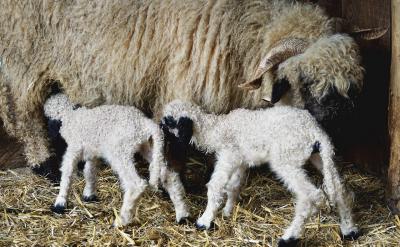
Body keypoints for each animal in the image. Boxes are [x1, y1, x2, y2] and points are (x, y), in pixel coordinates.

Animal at [0, 0, 370, 171]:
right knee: (23, 112)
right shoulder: (177, 84)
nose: (336, 124)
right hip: (25, 55)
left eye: (350, 88)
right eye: (303, 81)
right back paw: (43, 164)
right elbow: (173, 141)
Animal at [43, 94, 189, 226]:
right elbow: (90, 172)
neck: (70, 116)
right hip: (150, 148)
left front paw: (60, 203)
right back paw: (182, 214)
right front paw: (89, 194)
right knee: (169, 175)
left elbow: (67, 174)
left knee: (136, 184)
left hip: (120, 151)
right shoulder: (92, 152)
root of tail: (146, 123)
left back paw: (121, 221)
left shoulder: (73, 149)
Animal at [162, 100, 360, 245]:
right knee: (341, 191)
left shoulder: (229, 155)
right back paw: (349, 230)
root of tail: (316, 133)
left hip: (286, 159)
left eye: (168, 122)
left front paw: (205, 221)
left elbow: (216, 186)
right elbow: (233, 186)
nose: (161, 133)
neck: (217, 128)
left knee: (312, 196)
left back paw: (289, 237)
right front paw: (228, 211)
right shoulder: (241, 161)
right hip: (321, 156)